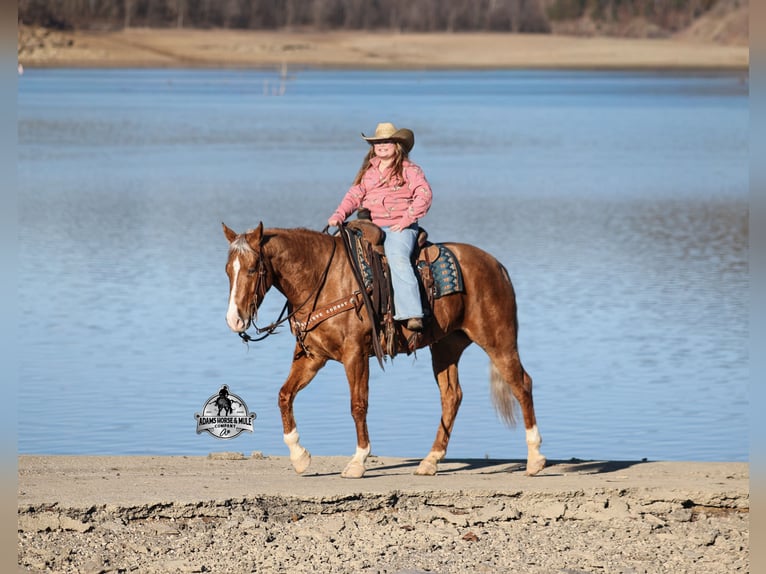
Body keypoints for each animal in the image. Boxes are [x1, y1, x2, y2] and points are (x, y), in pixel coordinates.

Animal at [222, 222, 545, 479]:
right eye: (228, 270)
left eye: (252, 268)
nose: (233, 320)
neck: (323, 280)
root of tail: (497, 265)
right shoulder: (313, 357)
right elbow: (284, 395)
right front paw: (300, 457)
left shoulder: (355, 354)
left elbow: (358, 405)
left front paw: (358, 462)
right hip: (446, 347)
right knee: (452, 395)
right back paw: (430, 460)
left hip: (498, 340)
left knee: (521, 384)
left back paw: (535, 459)